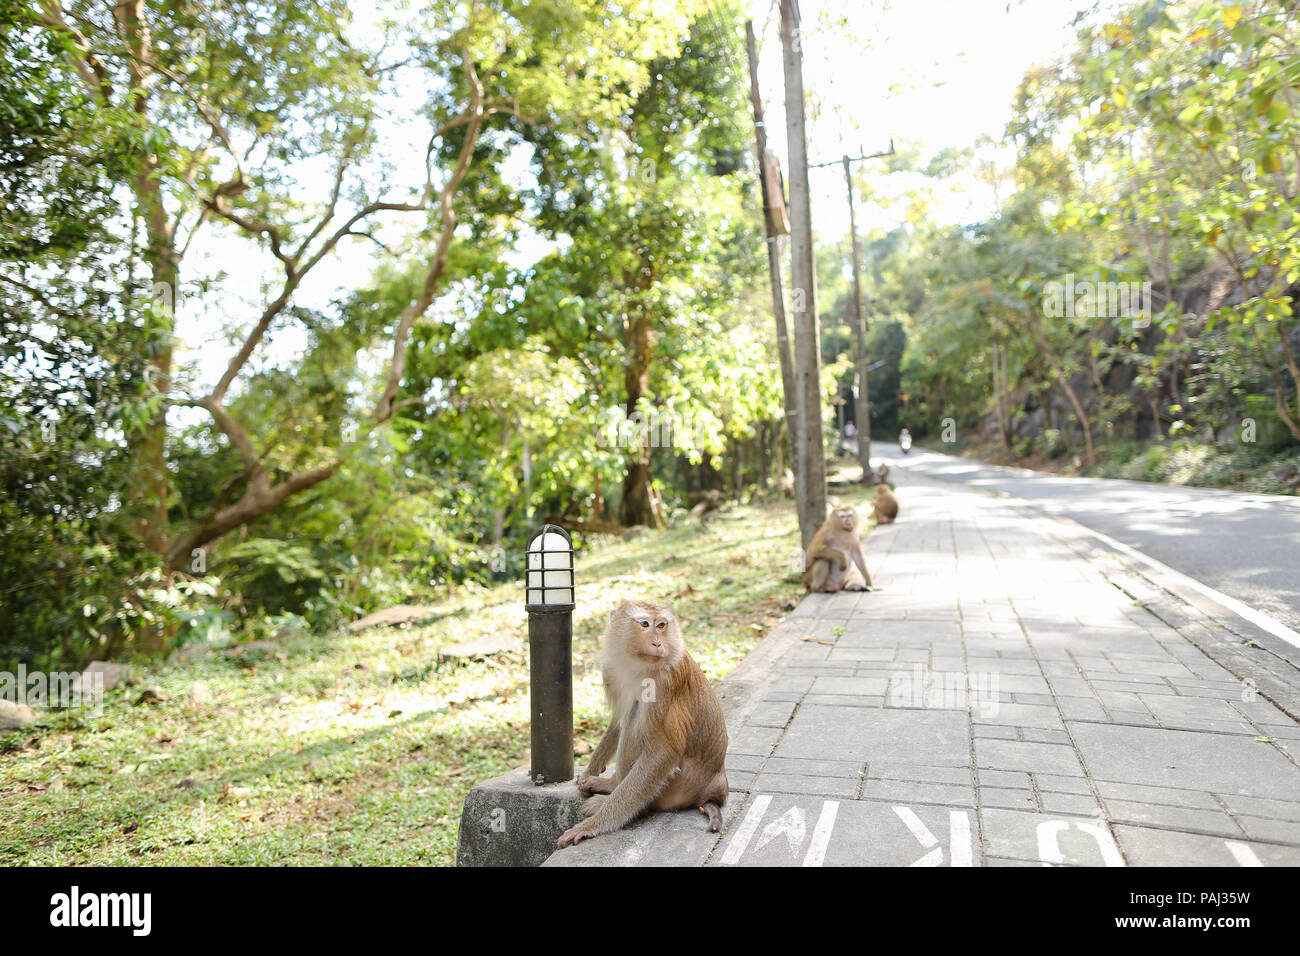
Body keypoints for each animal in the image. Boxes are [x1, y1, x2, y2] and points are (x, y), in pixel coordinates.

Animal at [553, 600, 728, 848]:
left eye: (662, 625)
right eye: (645, 624)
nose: (657, 642)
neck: (638, 665)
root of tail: (716, 788)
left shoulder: (664, 683)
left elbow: (663, 752)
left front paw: (591, 826)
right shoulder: (611, 671)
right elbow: (618, 719)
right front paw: (589, 771)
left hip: (679, 787)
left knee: (638, 716)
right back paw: (613, 783)